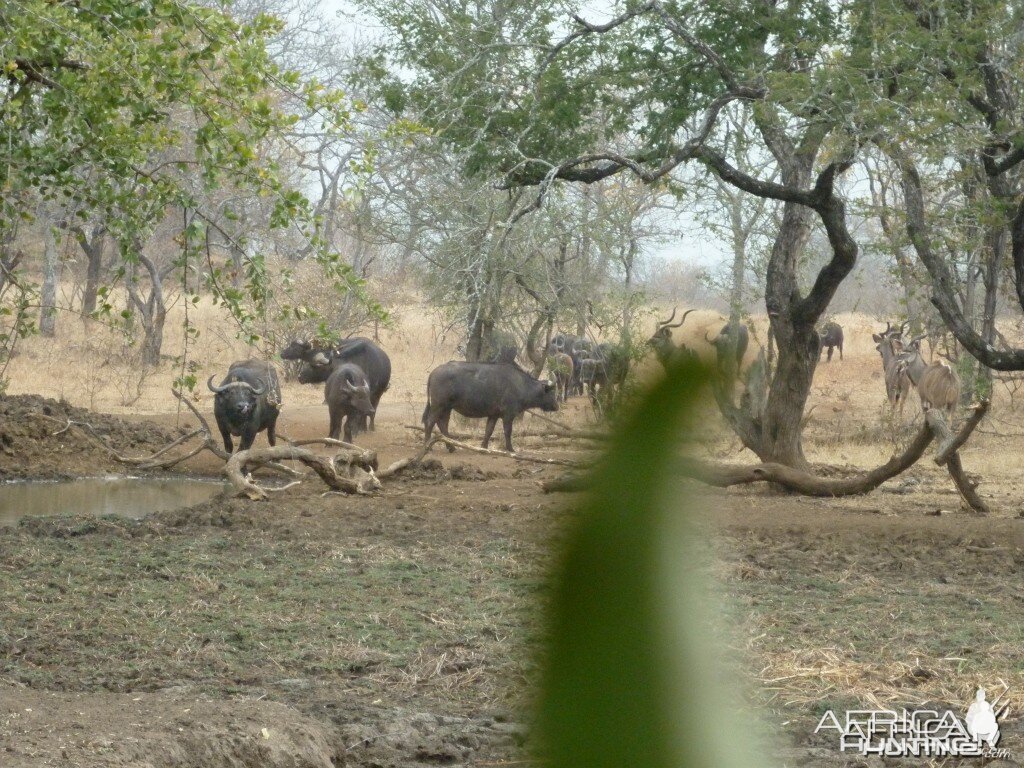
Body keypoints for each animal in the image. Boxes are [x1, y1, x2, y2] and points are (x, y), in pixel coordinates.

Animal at [423, 362, 561, 454]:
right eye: (552, 392)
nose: (556, 406)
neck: (521, 385)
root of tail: (433, 372)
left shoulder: (493, 415)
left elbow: (488, 431)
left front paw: (483, 447)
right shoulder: (508, 415)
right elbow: (508, 431)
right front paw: (510, 449)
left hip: (447, 408)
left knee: (442, 424)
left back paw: (451, 447)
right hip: (438, 406)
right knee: (430, 422)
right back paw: (428, 446)